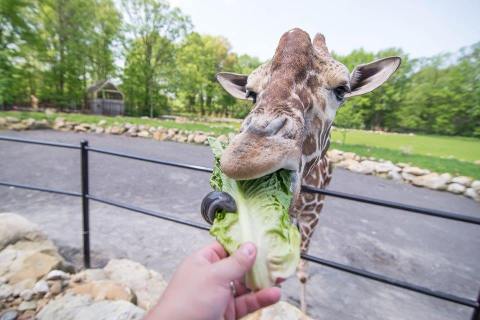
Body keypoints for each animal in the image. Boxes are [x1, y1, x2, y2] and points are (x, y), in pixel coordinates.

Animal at [212, 28, 400, 312]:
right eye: (251, 93)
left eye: (342, 89)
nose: (249, 156)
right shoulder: (286, 214)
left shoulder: (313, 215)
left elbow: (301, 269)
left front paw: (301, 309)